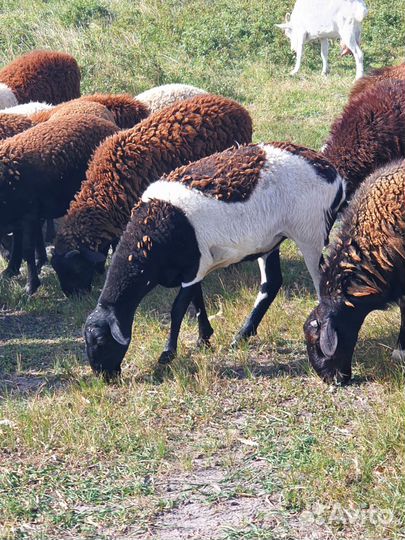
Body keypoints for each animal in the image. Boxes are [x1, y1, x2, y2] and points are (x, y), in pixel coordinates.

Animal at [0, 111, 118, 294]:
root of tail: (111, 126)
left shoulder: (28, 214)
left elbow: (27, 249)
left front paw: (31, 285)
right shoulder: (19, 216)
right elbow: (18, 243)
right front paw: (11, 269)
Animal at [83, 143, 344, 380]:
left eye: (101, 341)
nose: (104, 377)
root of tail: (331, 172)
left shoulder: (194, 266)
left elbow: (177, 309)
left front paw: (168, 353)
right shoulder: (195, 268)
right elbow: (197, 301)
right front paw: (203, 339)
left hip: (310, 231)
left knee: (319, 280)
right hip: (270, 240)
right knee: (271, 284)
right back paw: (243, 334)